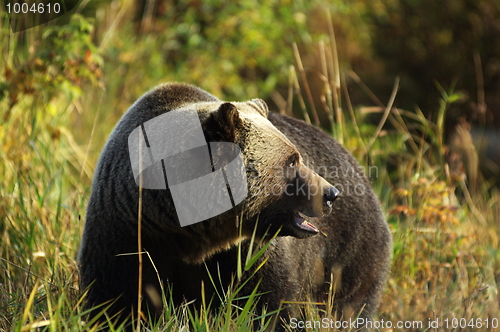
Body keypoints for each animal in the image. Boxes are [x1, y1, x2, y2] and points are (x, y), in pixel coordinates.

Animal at [79, 82, 390, 330]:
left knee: (347, 304)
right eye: (292, 161)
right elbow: (115, 300)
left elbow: (267, 304)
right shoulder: (129, 234)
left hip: (348, 253)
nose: (331, 193)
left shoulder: (250, 251)